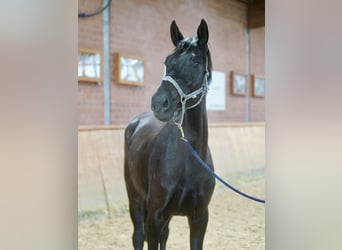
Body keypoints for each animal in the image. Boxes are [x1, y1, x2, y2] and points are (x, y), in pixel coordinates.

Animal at [123, 20, 214, 250]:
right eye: (167, 61)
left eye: (196, 62)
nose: (159, 103)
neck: (188, 159)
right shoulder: (154, 215)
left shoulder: (200, 217)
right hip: (135, 199)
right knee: (138, 236)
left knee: (165, 235)